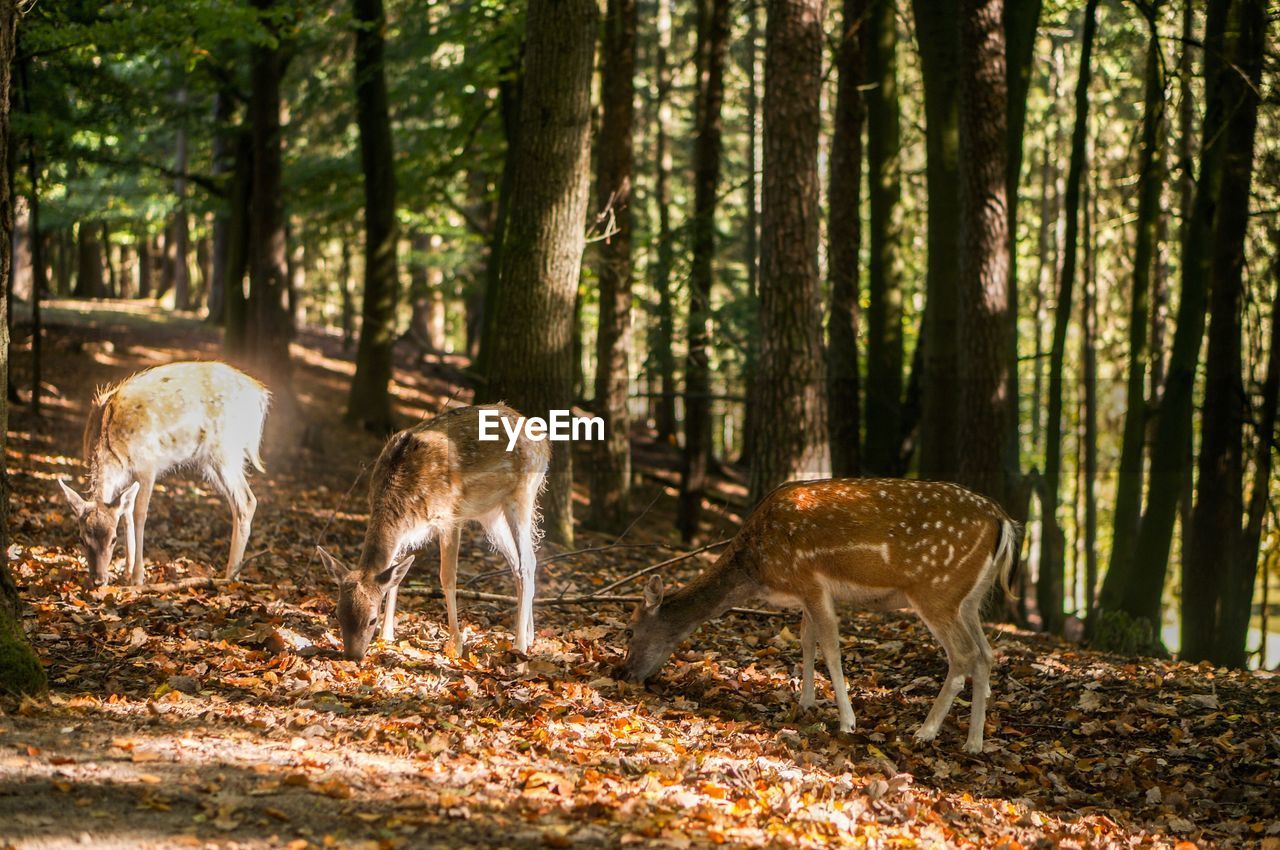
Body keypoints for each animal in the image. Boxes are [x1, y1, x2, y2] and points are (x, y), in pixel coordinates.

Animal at [56, 360, 271, 588]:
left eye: (113, 539)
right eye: (81, 538)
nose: (98, 580)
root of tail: (260, 395)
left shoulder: (147, 466)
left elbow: (139, 514)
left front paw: (137, 577)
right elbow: (125, 511)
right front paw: (127, 570)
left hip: (225, 449)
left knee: (247, 500)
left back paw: (231, 575)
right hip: (213, 460)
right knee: (237, 503)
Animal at [318, 401, 550, 660]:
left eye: (371, 619)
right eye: (337, 614)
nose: (352, 656)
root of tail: (544, 440)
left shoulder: (450, 516)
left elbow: (447, 577)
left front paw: (455, 645)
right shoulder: (404, 531)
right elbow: (396, 577)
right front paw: (386, 637)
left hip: (523, 493)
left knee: (527, 562)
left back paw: (520, 644)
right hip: (490, 513)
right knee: (519, 563)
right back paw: (529, 635)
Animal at [619, 478, 1018, 752]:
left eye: (630, 630)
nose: (623, 673)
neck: (757, 567)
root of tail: (1004, 521)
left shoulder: (808, 578)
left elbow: (829, 645)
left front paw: (847, 722)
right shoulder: (804, 591)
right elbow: (806, 639)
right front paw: (806, 703)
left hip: (936, 589)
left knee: (964, 654)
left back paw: (925, 731)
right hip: (969, 599)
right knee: (986, 654)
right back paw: (974, 743)